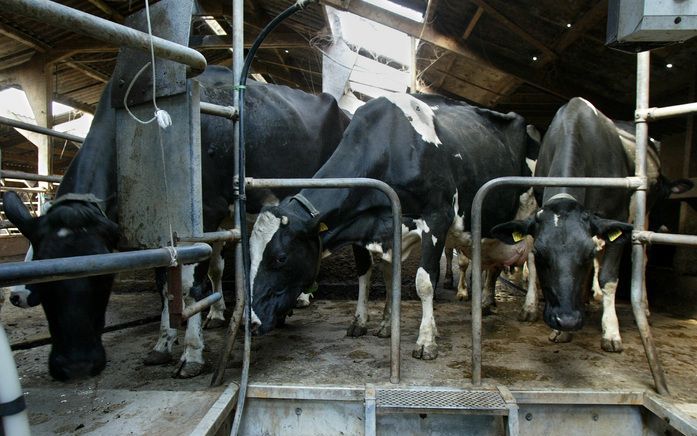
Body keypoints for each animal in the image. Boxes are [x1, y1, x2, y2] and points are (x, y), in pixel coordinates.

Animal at [0, 63, 348, 378]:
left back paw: (300, 298)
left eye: (103, 276)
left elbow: (192, 286)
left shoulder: (204, 210)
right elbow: (168, 282)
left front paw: (192, 353)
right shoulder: (158, 221)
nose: (77, 366)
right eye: (44, 274)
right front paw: (165, 343)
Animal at [250, 91, 540, 358]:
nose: (251, 322)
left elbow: (425, 281)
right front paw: (374, 323)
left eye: (280, 257)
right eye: (248, 254)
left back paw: (528, 308)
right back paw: (484, 303)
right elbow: (375, 276)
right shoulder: (371, 227)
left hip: (532, 214)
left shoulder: (437, 217)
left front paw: (426, 341)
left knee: (534, 259)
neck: (392, 146)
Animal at [492, 98, 688, 350]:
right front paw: (548, 322)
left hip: (645, 211)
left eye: (585, 254)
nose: (567, 319)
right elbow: (533, 262)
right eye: (542, 253)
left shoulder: (618, 217)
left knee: (641, 258)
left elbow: (609, 278)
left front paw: (611, 332)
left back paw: (641, 307)